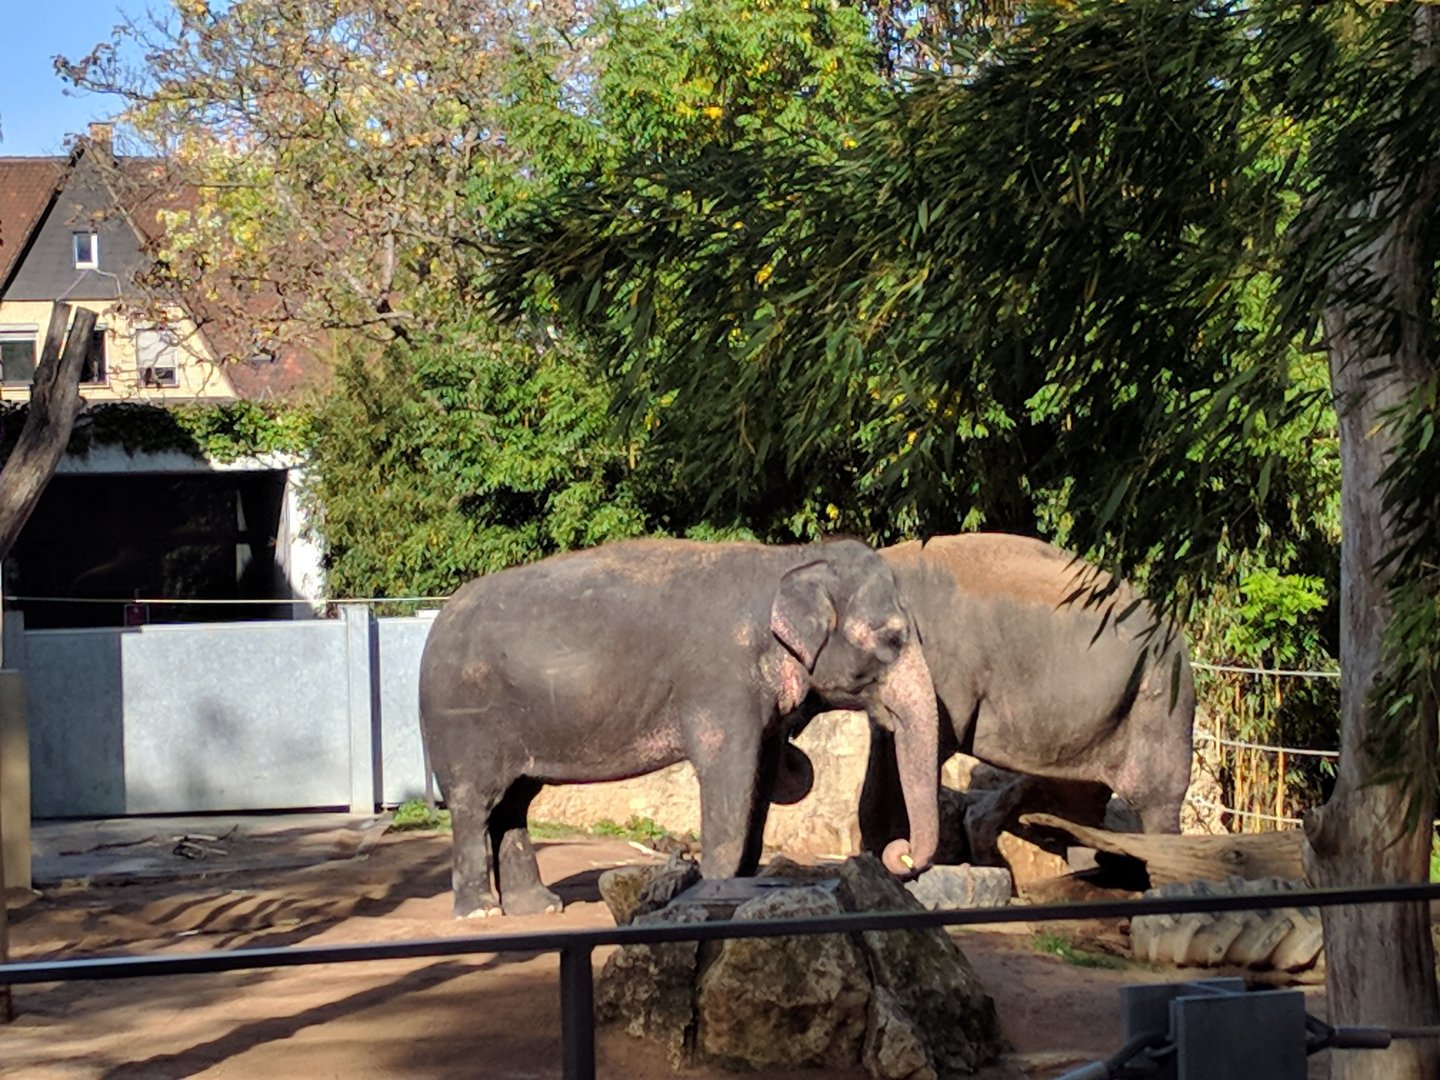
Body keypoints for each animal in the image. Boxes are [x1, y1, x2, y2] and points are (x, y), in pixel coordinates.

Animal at [417, 536, 941, 918]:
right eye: (893, 639)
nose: (901, 855)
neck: (788, 559)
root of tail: (437, 619)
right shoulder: (720, 682)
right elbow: (729, 775)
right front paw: (716, 894)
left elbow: (758, 783)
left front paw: (745, 889)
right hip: (462, 718)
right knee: (475, 803)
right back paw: (481, 914)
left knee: (515, 803)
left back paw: (539, 909)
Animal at [851, 533, 1196, 863]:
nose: (902, 853)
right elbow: (885, 743)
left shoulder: (944, 673)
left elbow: (930, 744)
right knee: (1080, 805)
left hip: (1160, 706)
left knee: (1155, 803)